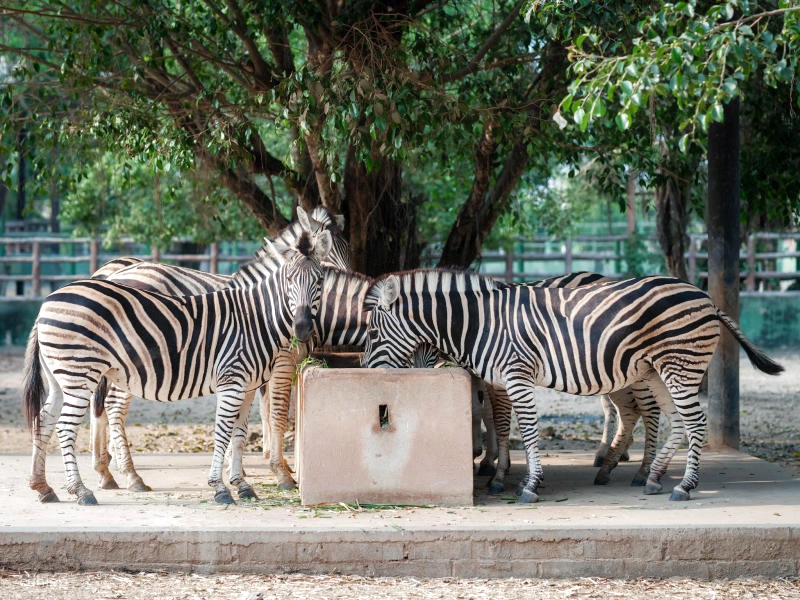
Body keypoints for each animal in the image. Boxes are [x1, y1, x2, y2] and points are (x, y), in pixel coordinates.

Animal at [21, 227, 332, 504]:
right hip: (80, 372)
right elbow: (224, 432)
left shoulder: (248, 385)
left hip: (60, 376)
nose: (302, 328)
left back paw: (43, 487)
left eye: (319, 280)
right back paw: (82, 491)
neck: (256, 318)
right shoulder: (234, 380)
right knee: (66, 426)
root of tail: (46, 303)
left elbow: (239, 435)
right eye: (289, 279)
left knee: (45, 419)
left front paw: (242, 485)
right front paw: (221, 488)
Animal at [86, 207, 352, 492]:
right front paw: (280, 472)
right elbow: (277, 413)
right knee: (112, 407)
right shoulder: (282, 362)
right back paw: (128, 474)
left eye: (345, 251)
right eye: (329, 259)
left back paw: (105, 471)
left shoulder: (257, 367)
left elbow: (257, 413)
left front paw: (247, 467)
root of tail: (112, 273)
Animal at [360, 270, 784, 502]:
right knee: (674, 421)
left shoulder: (516, 374)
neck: (484, 324)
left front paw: (527, 485)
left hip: (678, 366)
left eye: (373, 333)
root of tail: (706, 298)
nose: (365, 372)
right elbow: (505, 425)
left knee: (690, 423)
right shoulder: (501, 380)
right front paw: (504, 474)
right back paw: (652, 477)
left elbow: (526, 430)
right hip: (657, 370)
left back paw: (683, 485)